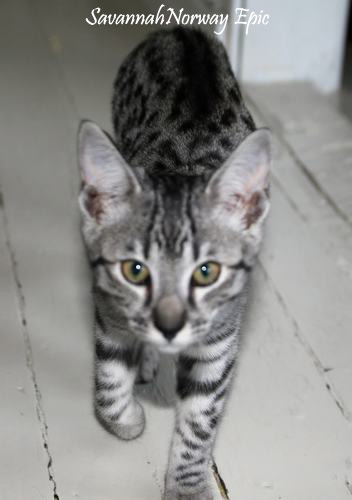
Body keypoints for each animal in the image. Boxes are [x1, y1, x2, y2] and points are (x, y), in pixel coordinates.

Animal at [77, 27, 272, 500]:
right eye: (134, 270)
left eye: (207, 272)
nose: (168, 326)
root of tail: (184, 31)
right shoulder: (109, 311)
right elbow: (107, 385)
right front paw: (128, 420)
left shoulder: (220, 342)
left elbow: (200, 422)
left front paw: (186, 486)